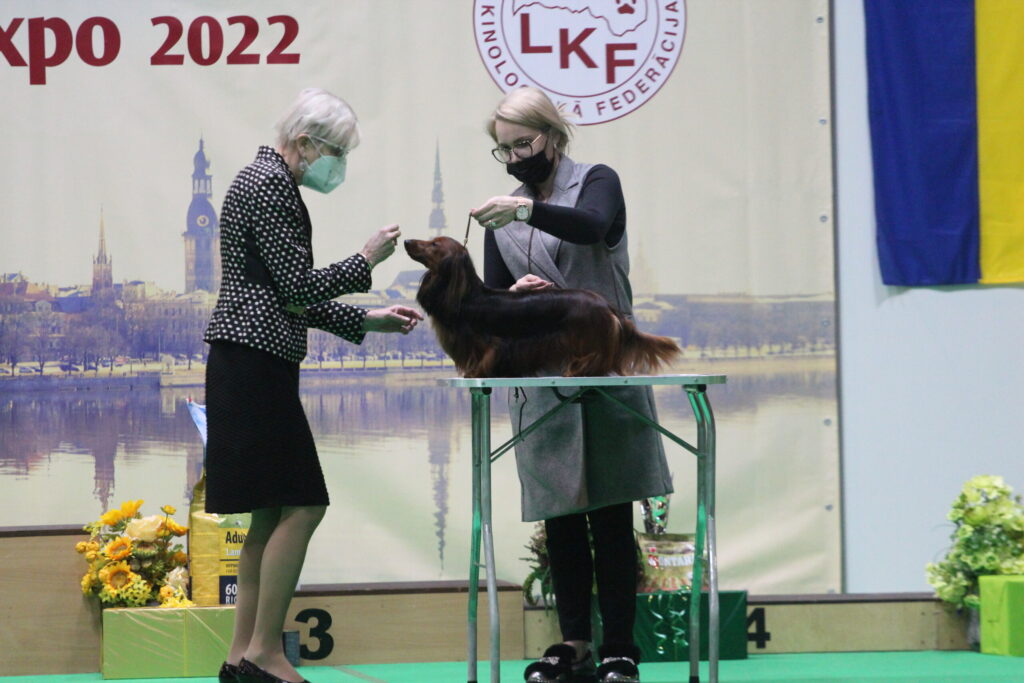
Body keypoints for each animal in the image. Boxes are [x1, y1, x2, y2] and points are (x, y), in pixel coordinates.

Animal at [404, 236, 680, 378]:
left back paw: (577, 370)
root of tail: (607, 306)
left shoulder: (488, 343)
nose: (406, 240)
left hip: (588, 337)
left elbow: (484, 358)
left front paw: (474, 373)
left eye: (434, 244)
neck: (468, 295)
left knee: (596, 358)